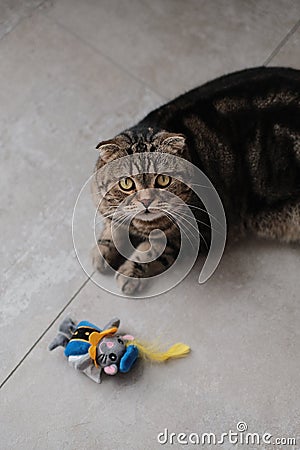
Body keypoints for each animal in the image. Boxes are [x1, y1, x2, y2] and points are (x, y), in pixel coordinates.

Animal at [91, 65, 300, 294]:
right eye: (126, 183)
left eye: (163, 180)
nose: (146, 201)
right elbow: (113, 225)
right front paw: (102, 251)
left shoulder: (197, 234)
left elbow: (154, 250)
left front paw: (129, 272)